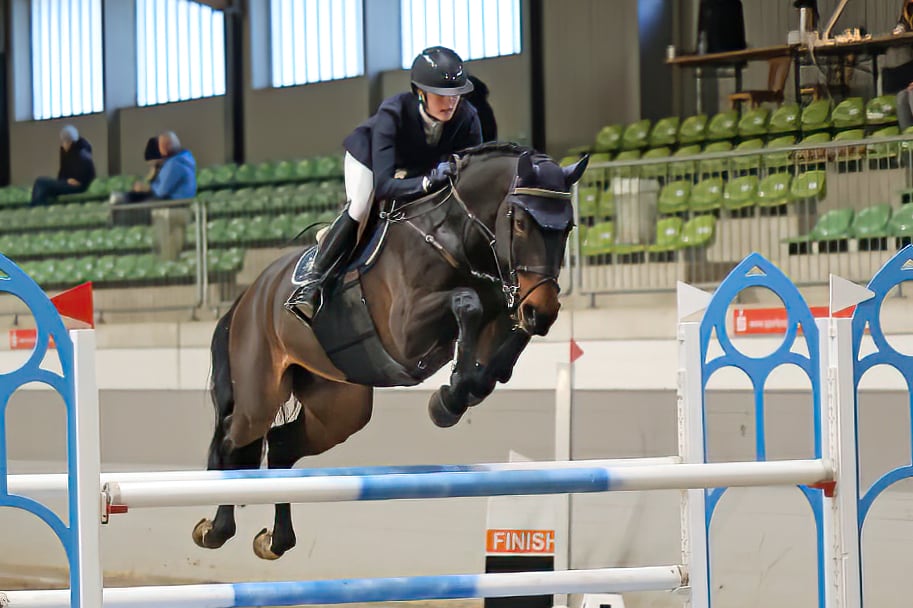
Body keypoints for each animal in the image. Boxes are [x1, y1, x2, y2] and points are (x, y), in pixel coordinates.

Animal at [195, 142, 588, 560]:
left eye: (568, 228)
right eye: (521, 223)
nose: (543, 310)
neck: (455, 237)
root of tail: (247, 297)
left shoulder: (505, 306)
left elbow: (501, 351)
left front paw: (454, 396)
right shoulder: (405, 332)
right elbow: (466, 303)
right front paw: (449, 397)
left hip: (339, 406)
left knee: (282, 445)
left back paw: (275, 539)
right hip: (259, 391)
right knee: (234, 440)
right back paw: (216, 530)